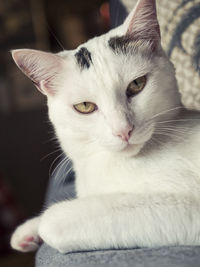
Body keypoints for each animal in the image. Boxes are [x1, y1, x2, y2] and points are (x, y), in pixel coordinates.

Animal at [10, 0, 200, 254]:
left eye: (137, 85)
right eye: (85, 106)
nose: (123, 130)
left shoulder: (187, 207)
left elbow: (54, 221)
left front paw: (42, 226)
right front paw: (27, 231)